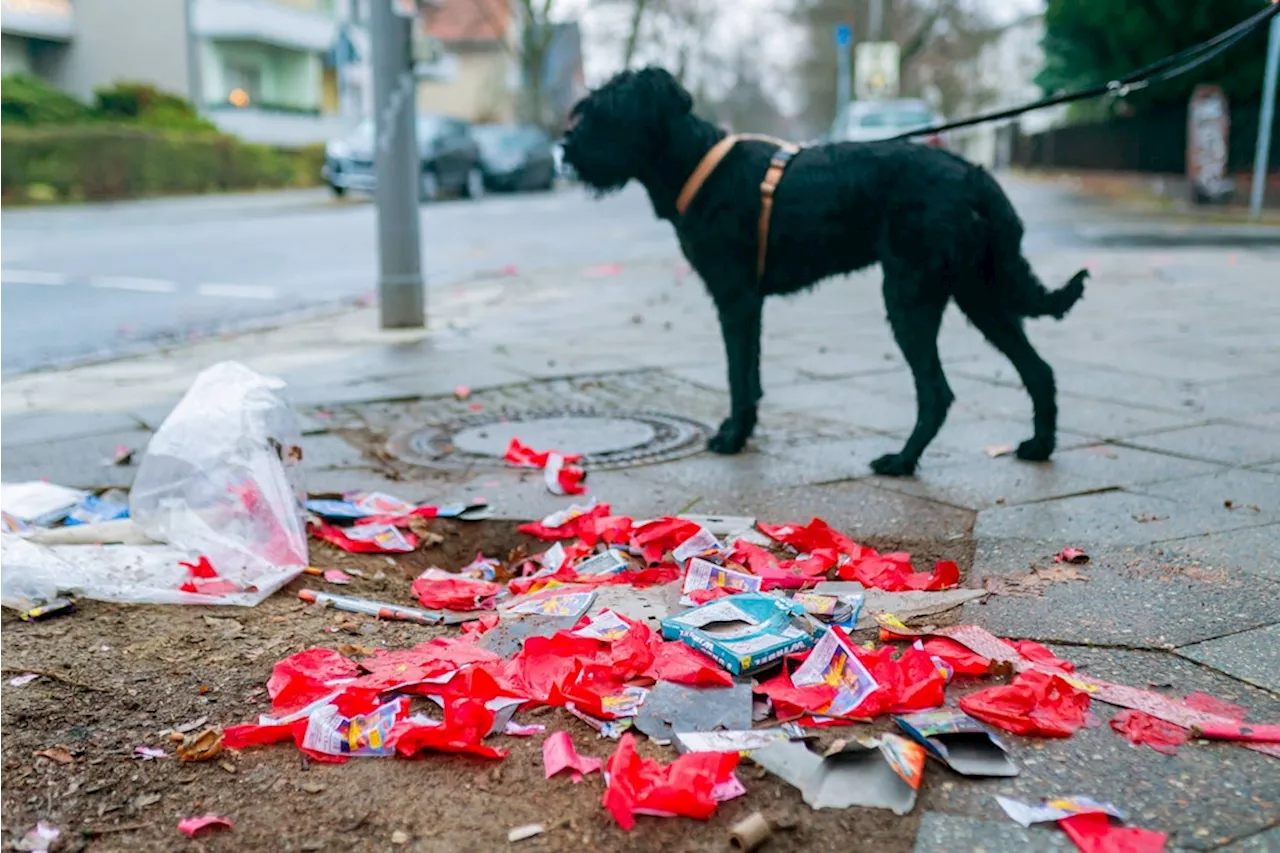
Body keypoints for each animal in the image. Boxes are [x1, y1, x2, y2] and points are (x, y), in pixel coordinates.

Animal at [565, 66, 1085, 473]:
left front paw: (732, 438)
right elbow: (750, 375)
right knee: (1038, 370)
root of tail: (977, 177)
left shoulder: (734, 298)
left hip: (911, 296)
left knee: (937, 392)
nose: (565, 148)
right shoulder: (749, 304)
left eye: (607, 112)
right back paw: (1040, 446)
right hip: (979, 293)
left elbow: (736, 376)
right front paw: (742, 431)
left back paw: (902, 461)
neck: (697, 164)